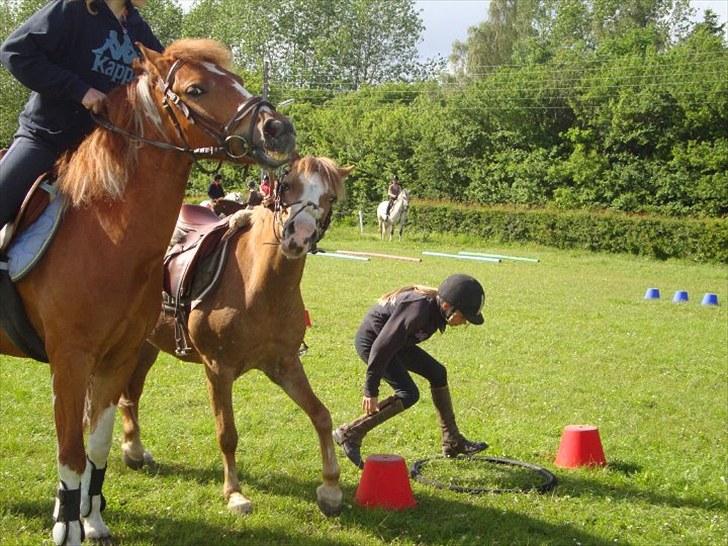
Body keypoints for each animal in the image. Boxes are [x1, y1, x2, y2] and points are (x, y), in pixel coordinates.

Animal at [0, 39, 295, 546]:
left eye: (236, 79)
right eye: (196, 88)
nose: (278, 129)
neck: (103, 234)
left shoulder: (116, 358)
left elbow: (96, 446)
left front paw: (93, 520)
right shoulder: (70, 360)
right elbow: (70, 452)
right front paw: (68, 527)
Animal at [118, 156, 351, 517]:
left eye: (330, 197)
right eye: (287, 186)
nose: (298, 236)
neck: (261, 286)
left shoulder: (284, 365)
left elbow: (321, 415)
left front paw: (330, 488)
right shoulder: (218, 369)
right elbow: (227, 433)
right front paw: (235, 494)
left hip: (147, 346)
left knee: (131, 393)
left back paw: (134, 449)